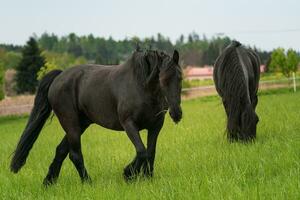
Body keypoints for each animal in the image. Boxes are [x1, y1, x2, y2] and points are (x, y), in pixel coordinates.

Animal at [9, 48, 183, 184]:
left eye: (180, 78)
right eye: (162, 79)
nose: (176, 113)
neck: (140, 86)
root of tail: (59, 77)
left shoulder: (155, 126)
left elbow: (150, 152)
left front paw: (148, 178)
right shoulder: (129, 124)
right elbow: (142, 151)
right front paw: (128, 174)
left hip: (81, 125)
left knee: (61, 151)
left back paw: (49, 182)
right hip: (71, 124)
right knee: (74, 154)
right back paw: (87, 182)